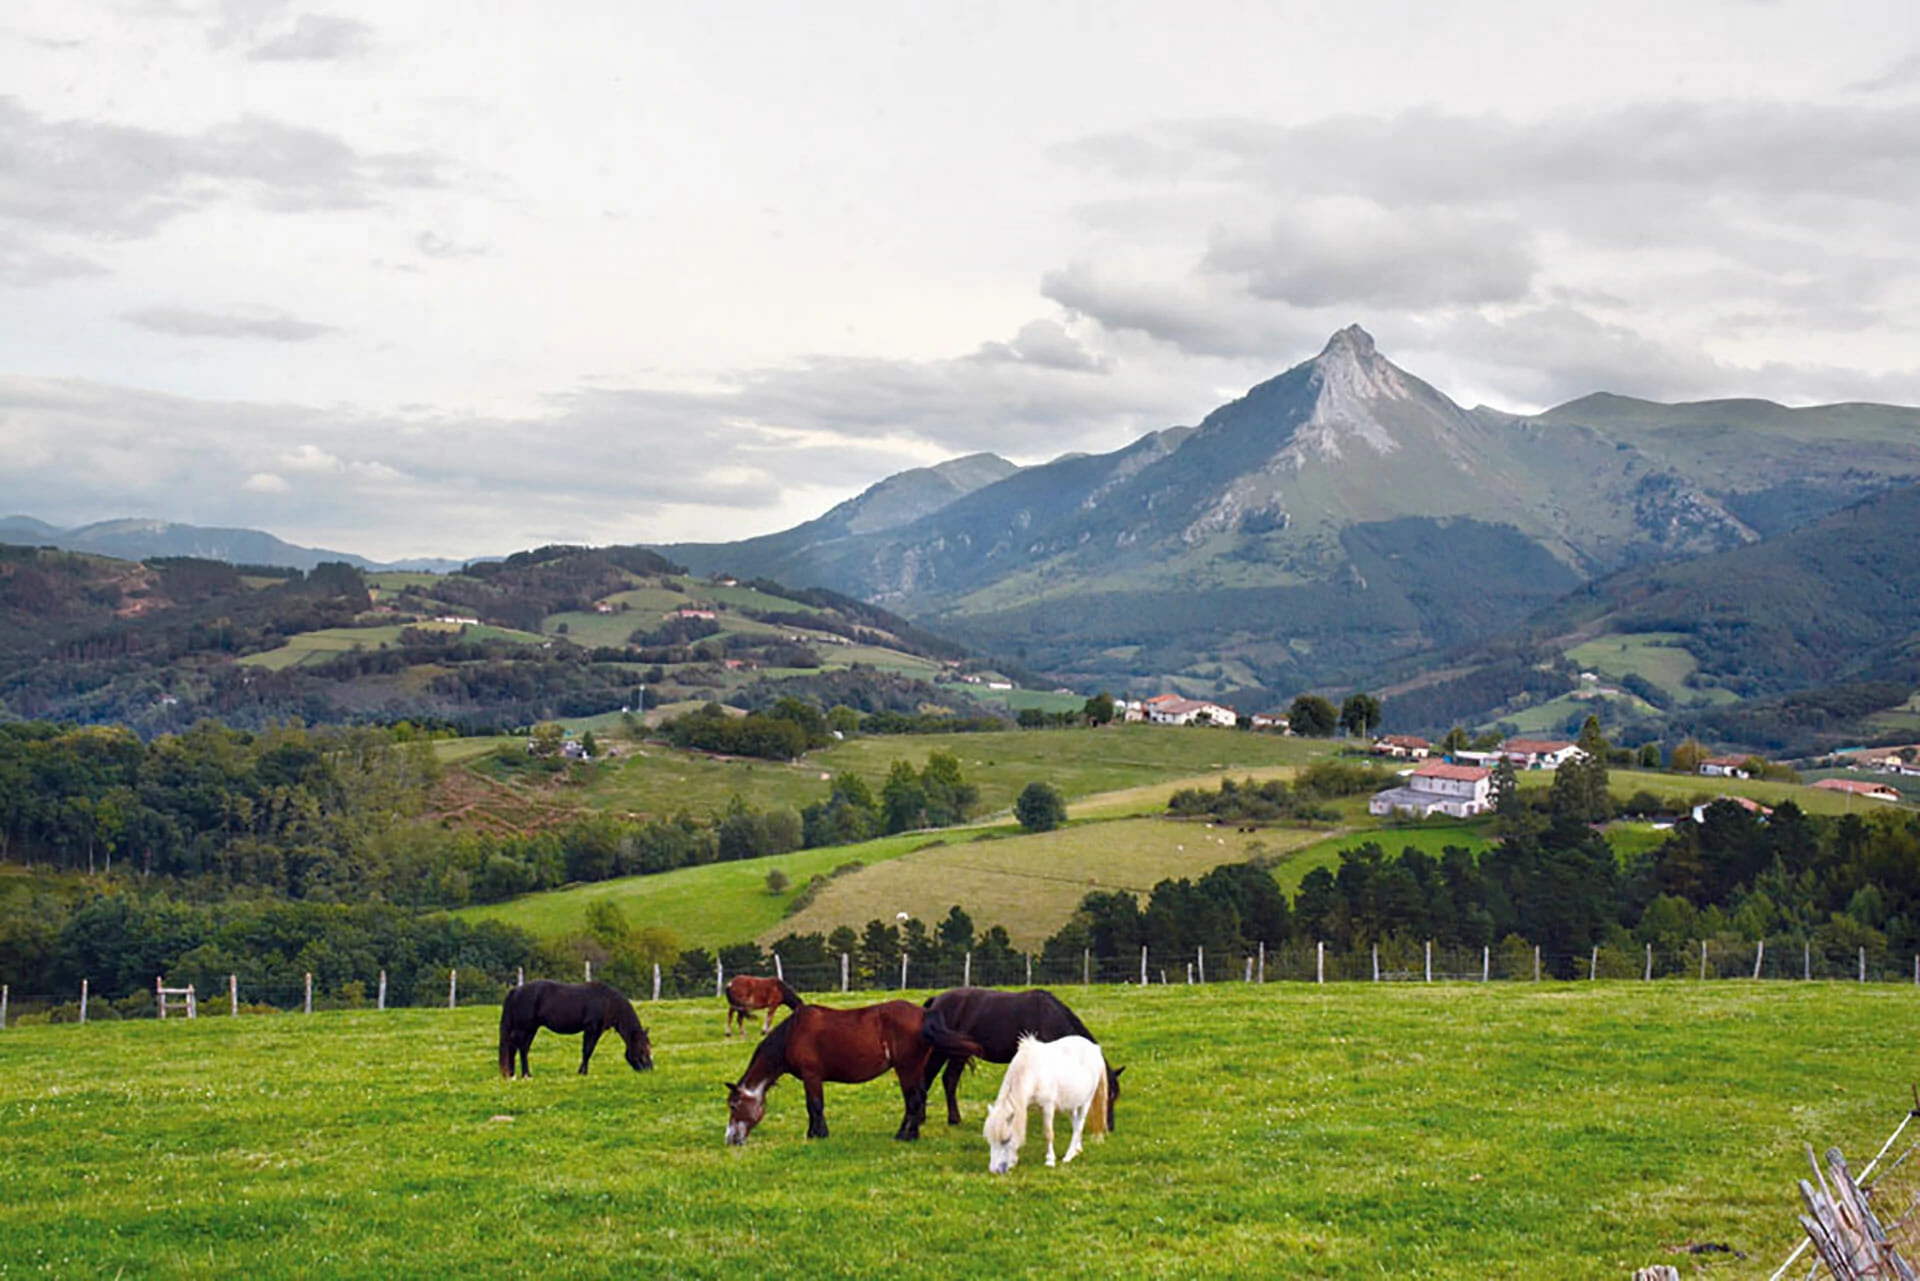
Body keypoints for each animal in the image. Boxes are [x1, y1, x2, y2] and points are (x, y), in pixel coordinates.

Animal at [499, 983, 656, 1083]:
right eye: (642, 1050)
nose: (649, 1069)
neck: (608, 1001)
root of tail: (515, 991)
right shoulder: (592, 1029)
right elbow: (587, 1051)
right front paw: (583, 1072)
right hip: (523, 1028)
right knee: (514, 1047)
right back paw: (514, 1075)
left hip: (532, 1028)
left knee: (523, 1049)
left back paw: (524, 1074)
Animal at [721, 998, 929, 1144]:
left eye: (733, 1106)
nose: (730, 1140)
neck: (791, 1034)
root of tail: (924, 1014)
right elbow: (812, 1106)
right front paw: (814, 1132)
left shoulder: (811, 1076)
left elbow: (814, 1105)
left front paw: (818, 1134)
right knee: (918, 1099)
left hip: (906, 1069)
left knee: (913, 1101)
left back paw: (905, 1136)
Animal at [917, 990, 1121, 1129]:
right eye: (1107, 1094)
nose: (1109, 1127)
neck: (1050, 1018)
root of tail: (935, 1000)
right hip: (945, 1051)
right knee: (937, 1079)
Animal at [990, 1037, 1113, 1175]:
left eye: (1005, 1140)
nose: (994, 1170)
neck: (1031, 1072)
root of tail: (1095, 1048)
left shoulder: (1048, 1107)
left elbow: (1048, 1133)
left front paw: (1050, 1160)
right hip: (1071, 1102)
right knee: (1076, 1123)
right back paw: (1077, 1149)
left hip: (1086, 1100)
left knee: (1079, 1124)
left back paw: (1069, 1155)